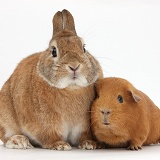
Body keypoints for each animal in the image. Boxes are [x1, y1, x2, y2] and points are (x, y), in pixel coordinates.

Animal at [0, 9, 102, 150]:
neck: (71, 88)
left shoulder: (83, 126)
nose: (74, 65)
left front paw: (89, 144)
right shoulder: (46, 124)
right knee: (6, 137)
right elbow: (50, 135)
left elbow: (84, 136)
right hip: (6, 118)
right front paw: (60, 145)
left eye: (84, 48)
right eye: (54, 51)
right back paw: (19, 141)